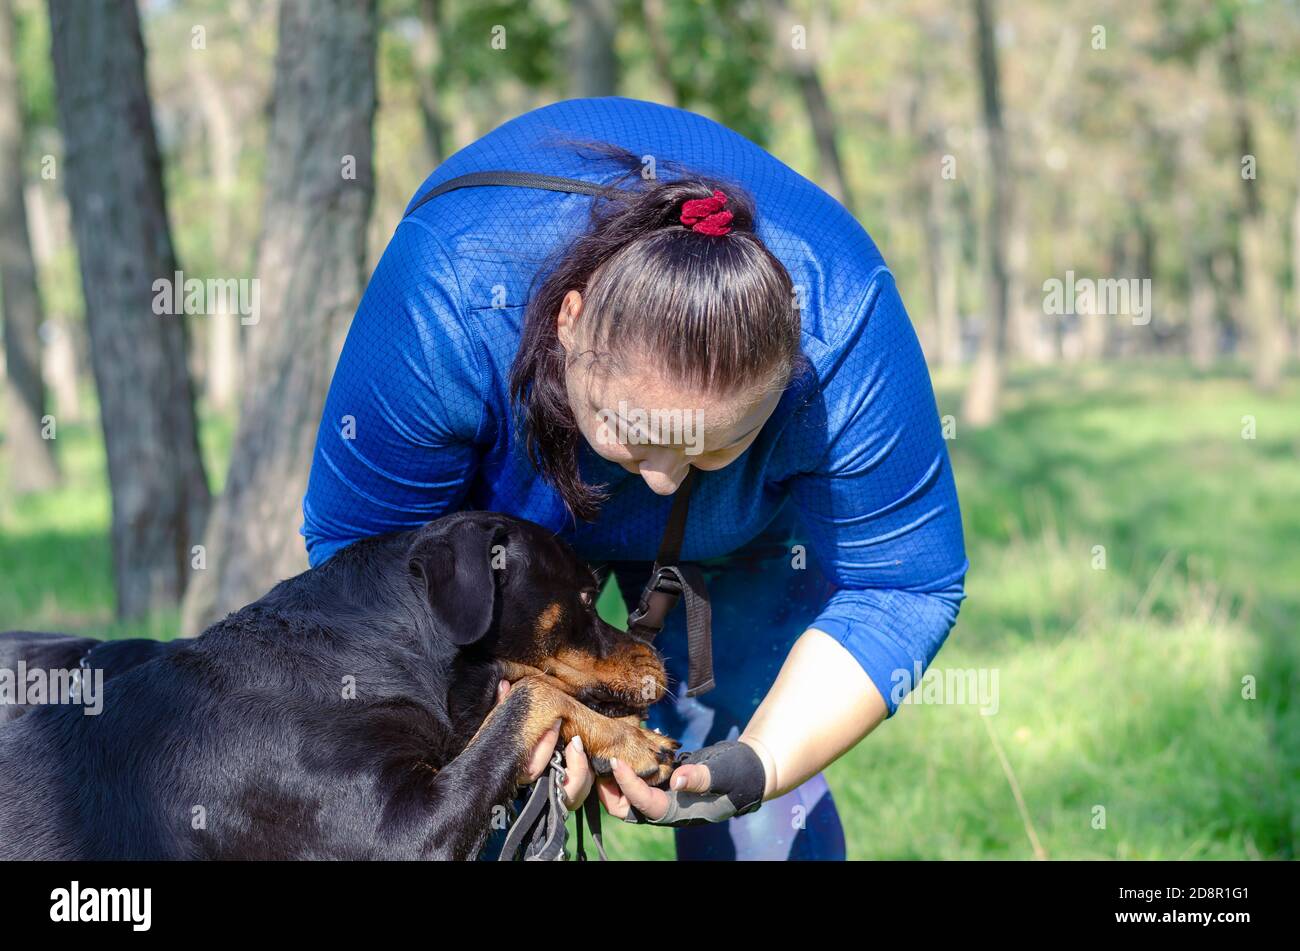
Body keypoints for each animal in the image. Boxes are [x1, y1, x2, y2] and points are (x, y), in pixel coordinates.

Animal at [0, 511, 676, 862]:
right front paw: (635, 740)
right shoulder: (397, 835)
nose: (658, 655)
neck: (370, 655)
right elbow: (534, 695)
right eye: (586, 597)